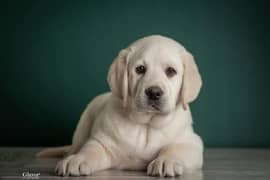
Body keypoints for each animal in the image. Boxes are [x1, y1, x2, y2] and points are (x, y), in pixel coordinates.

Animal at [37, 35, 202, 177]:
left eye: (171, 71)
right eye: (140, 69)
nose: (154, 92)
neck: (146, 125)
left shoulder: (192, 142)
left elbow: (175, 149)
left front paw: (165, 161)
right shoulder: (102, 142)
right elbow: (90, 150)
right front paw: (78, 159)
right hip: (82, 127)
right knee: (74, 147)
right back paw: (71, 155)